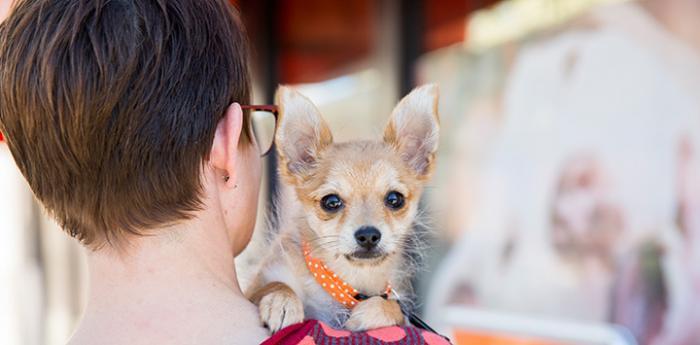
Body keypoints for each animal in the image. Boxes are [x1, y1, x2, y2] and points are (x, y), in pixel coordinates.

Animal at [247, 83, 438, 334]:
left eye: (394, 199)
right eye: (331, 202)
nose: (368, 235)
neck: (348, 281)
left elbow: (394, 308)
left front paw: (373, 311)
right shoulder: (258, 283)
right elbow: (274, 285)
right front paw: (282, 301)